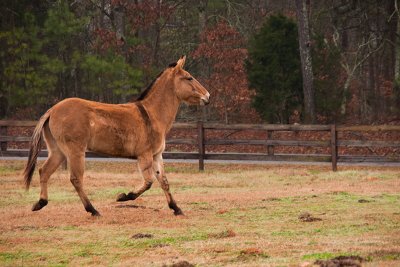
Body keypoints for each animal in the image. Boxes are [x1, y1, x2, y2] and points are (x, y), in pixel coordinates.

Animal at [22, 56, 209, 218]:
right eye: (189, 78)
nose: (207, 96)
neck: (151, 114)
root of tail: (53, 110)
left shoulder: (157, 156)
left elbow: (164, 181)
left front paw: (176, 208)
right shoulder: (144, 156)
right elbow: (149, 182)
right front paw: (124, 196)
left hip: (58, 151)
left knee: (44, 171)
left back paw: (40, 203)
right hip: (75, 152)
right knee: (76, 179)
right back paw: (92, 210)